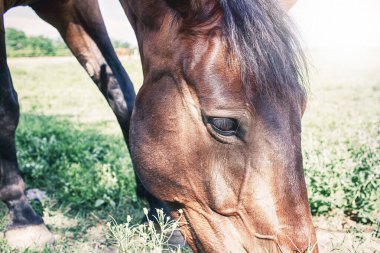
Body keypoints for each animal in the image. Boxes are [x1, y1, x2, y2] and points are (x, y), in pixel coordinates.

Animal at [0, 0, 318, 252]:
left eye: (302, 107)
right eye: (223, 123)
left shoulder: (75, 8)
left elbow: (122, 94)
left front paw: (155, 212)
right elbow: (7, 108)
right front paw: (24, 218)